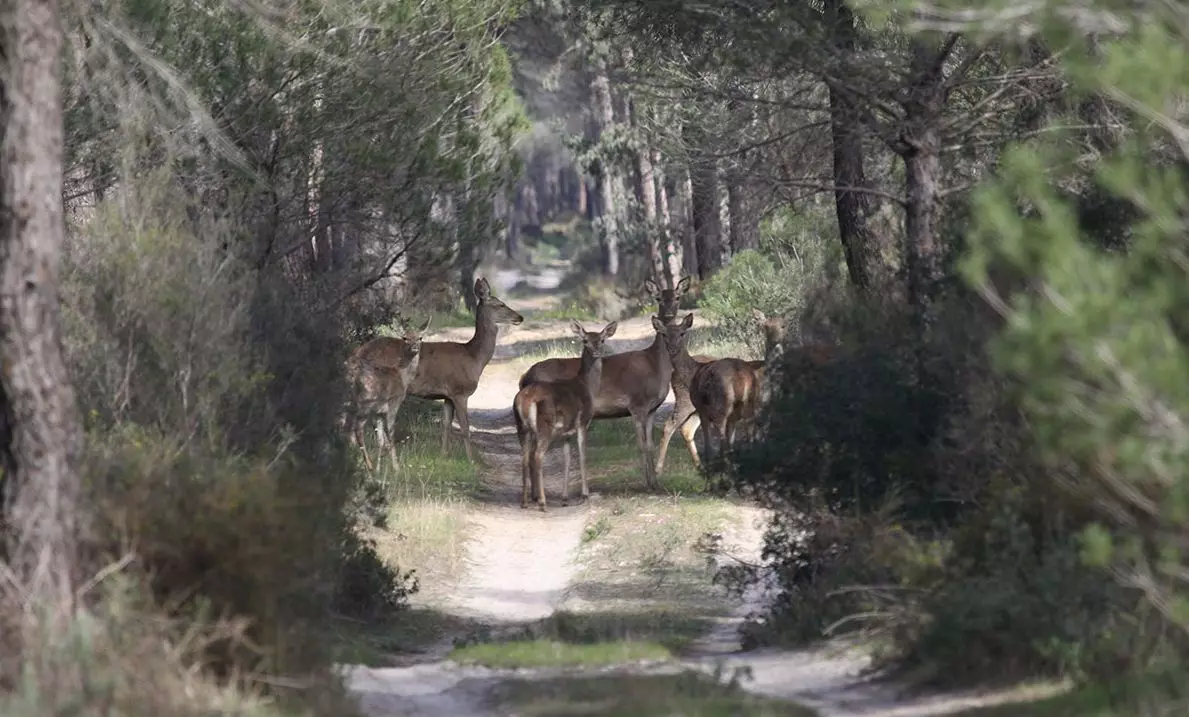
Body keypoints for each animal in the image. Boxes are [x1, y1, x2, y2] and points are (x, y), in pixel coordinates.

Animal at [342, 318, 430, 470]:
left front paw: (380, 467)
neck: (402, 377)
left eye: (420, 337)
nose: (414, 347)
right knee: (356, 429)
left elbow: (381, 440)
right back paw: (367, 464)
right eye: (405, 338)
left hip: (348, 401)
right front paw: (396, 467)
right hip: (365, 403)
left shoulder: (379, 412)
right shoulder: (394, 403)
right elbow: (390, 434)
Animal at [349, 278, 523, 463]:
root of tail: (357, 352)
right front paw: (471, 460)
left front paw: (444, 455)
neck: (474, 358)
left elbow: (446, 425)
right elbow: (465, 428)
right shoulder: (460, 391)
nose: (520, 317)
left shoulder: (447, 396)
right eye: (500, 304)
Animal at [513, 318, 618, 511]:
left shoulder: (565, 433)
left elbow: (567, 459)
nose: (596, 352)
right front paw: (585, 494)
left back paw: (525, 502)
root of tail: (526, 397)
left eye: (602, 340)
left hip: (522, 427)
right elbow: (583, 456)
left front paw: (565, 498)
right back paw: (542, 502)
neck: (587, 386)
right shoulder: (583, 422)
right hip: (544, 425)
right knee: (537, 456)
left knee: (524, 458)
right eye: (585, 341)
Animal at [516, 278, 694, 489]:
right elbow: (641, 444)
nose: (668, 313)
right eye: (658, 297)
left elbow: (650, 444)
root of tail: (525, 377)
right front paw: (647, 484)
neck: (655, 365)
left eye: (677, 297)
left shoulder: (652, 408)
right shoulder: (637, 404)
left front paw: (656, 483)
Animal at [656, 313, 765, 470]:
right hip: (712, 405)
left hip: (713, 406)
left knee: (684, 428)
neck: (693, 372)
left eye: (682, 333)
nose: (672, 348)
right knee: (678, 427)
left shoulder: (703, 408)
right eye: (664, 334)